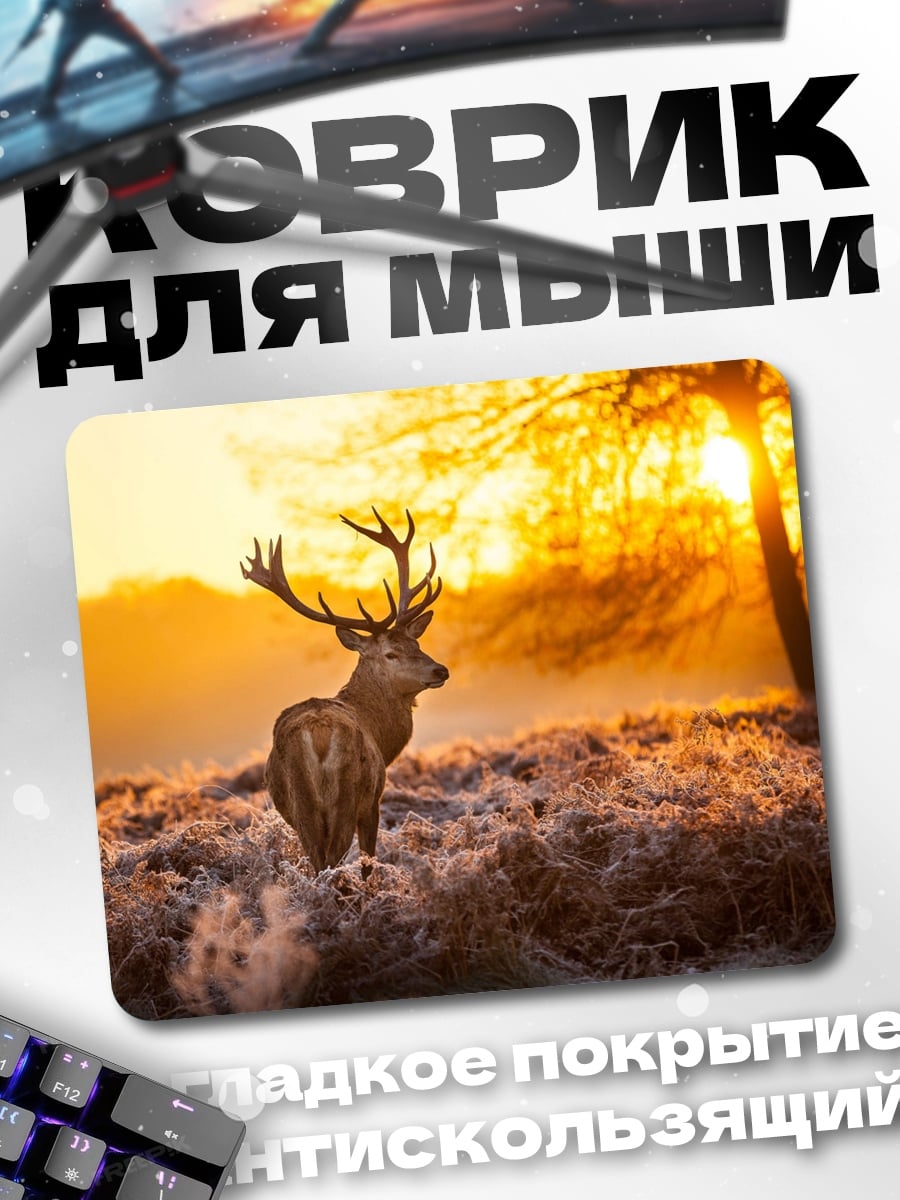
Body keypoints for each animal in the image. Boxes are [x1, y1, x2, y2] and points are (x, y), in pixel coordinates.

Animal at [241, 509, 449, 878]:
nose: (441, 670)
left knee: (317, 862)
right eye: (390, 653)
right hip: (347, 797)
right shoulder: (374, 801)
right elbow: (368, 861)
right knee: (332, 859)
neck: (382, 736)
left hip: (301, 804)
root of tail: (319, 733)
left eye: (416, 644)